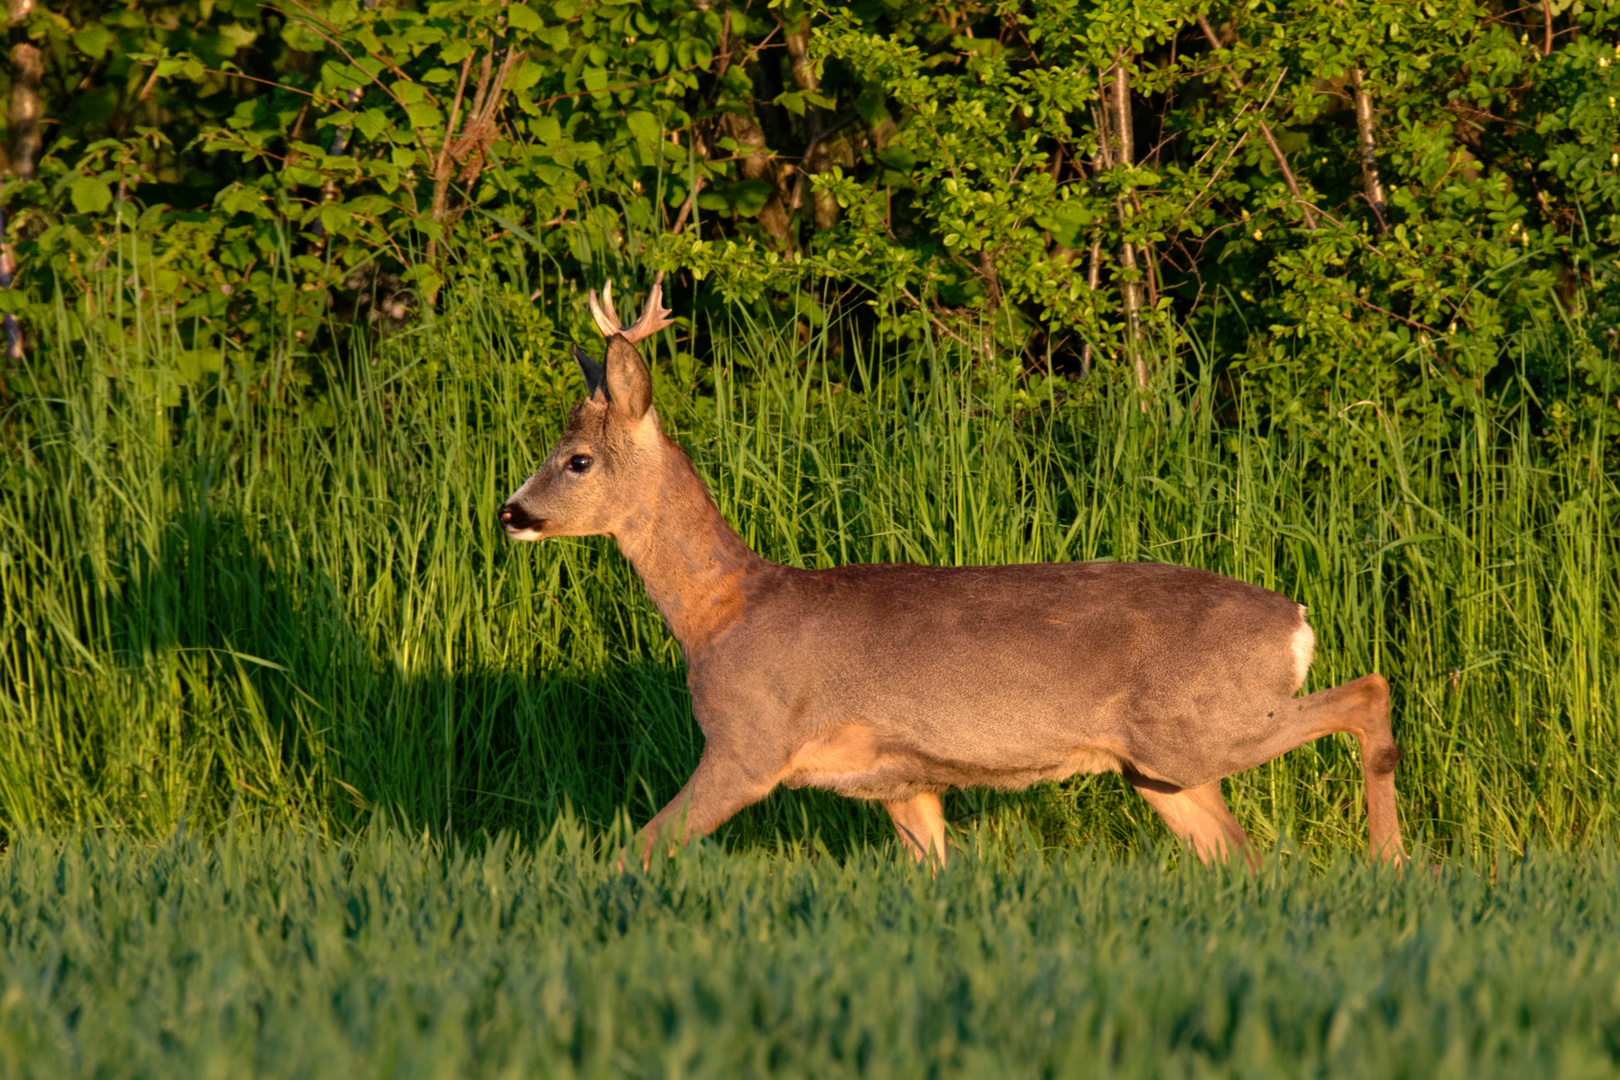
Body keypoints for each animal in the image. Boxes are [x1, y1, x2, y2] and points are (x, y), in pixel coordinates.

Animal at [502, 281, 1406, 867]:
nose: (511, 513)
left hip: (1200, 723)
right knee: (1244, 859)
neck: (722, 612)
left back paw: (1390, 864)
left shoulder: (749, 743)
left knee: (1368, 693)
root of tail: (1296, 621)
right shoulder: (902, 780)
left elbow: (634, 854)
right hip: (1160, 768)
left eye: (577, 460)